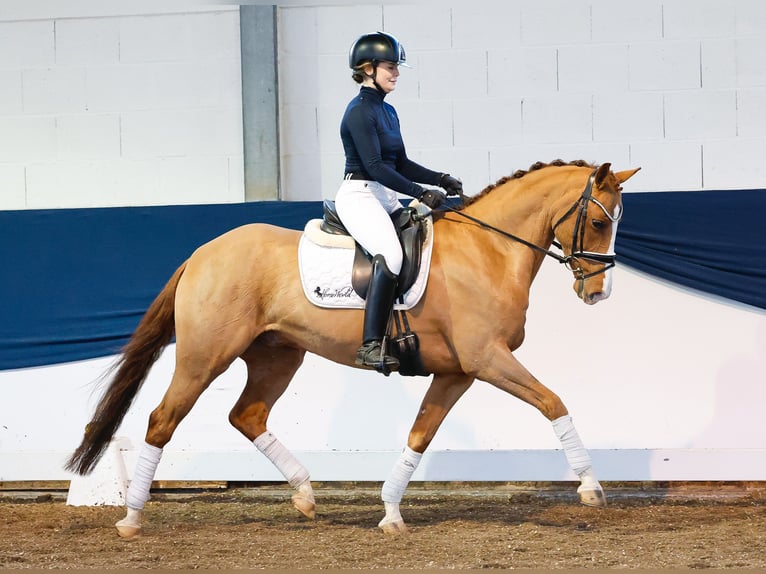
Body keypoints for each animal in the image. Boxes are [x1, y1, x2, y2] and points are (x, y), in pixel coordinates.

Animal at [66, 159, 640, 540]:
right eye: (598, 221)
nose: (598, 293)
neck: (489, 249)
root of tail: (202, 253)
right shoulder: (487, 359)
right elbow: (553, 402)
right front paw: (591, 487)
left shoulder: (458, 371)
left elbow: (420, 434)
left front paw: (390, 513)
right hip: (205, 356)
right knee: (163, 419)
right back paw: (132, 517)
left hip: (278, 355)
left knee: (247, 415)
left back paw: (304, 495)